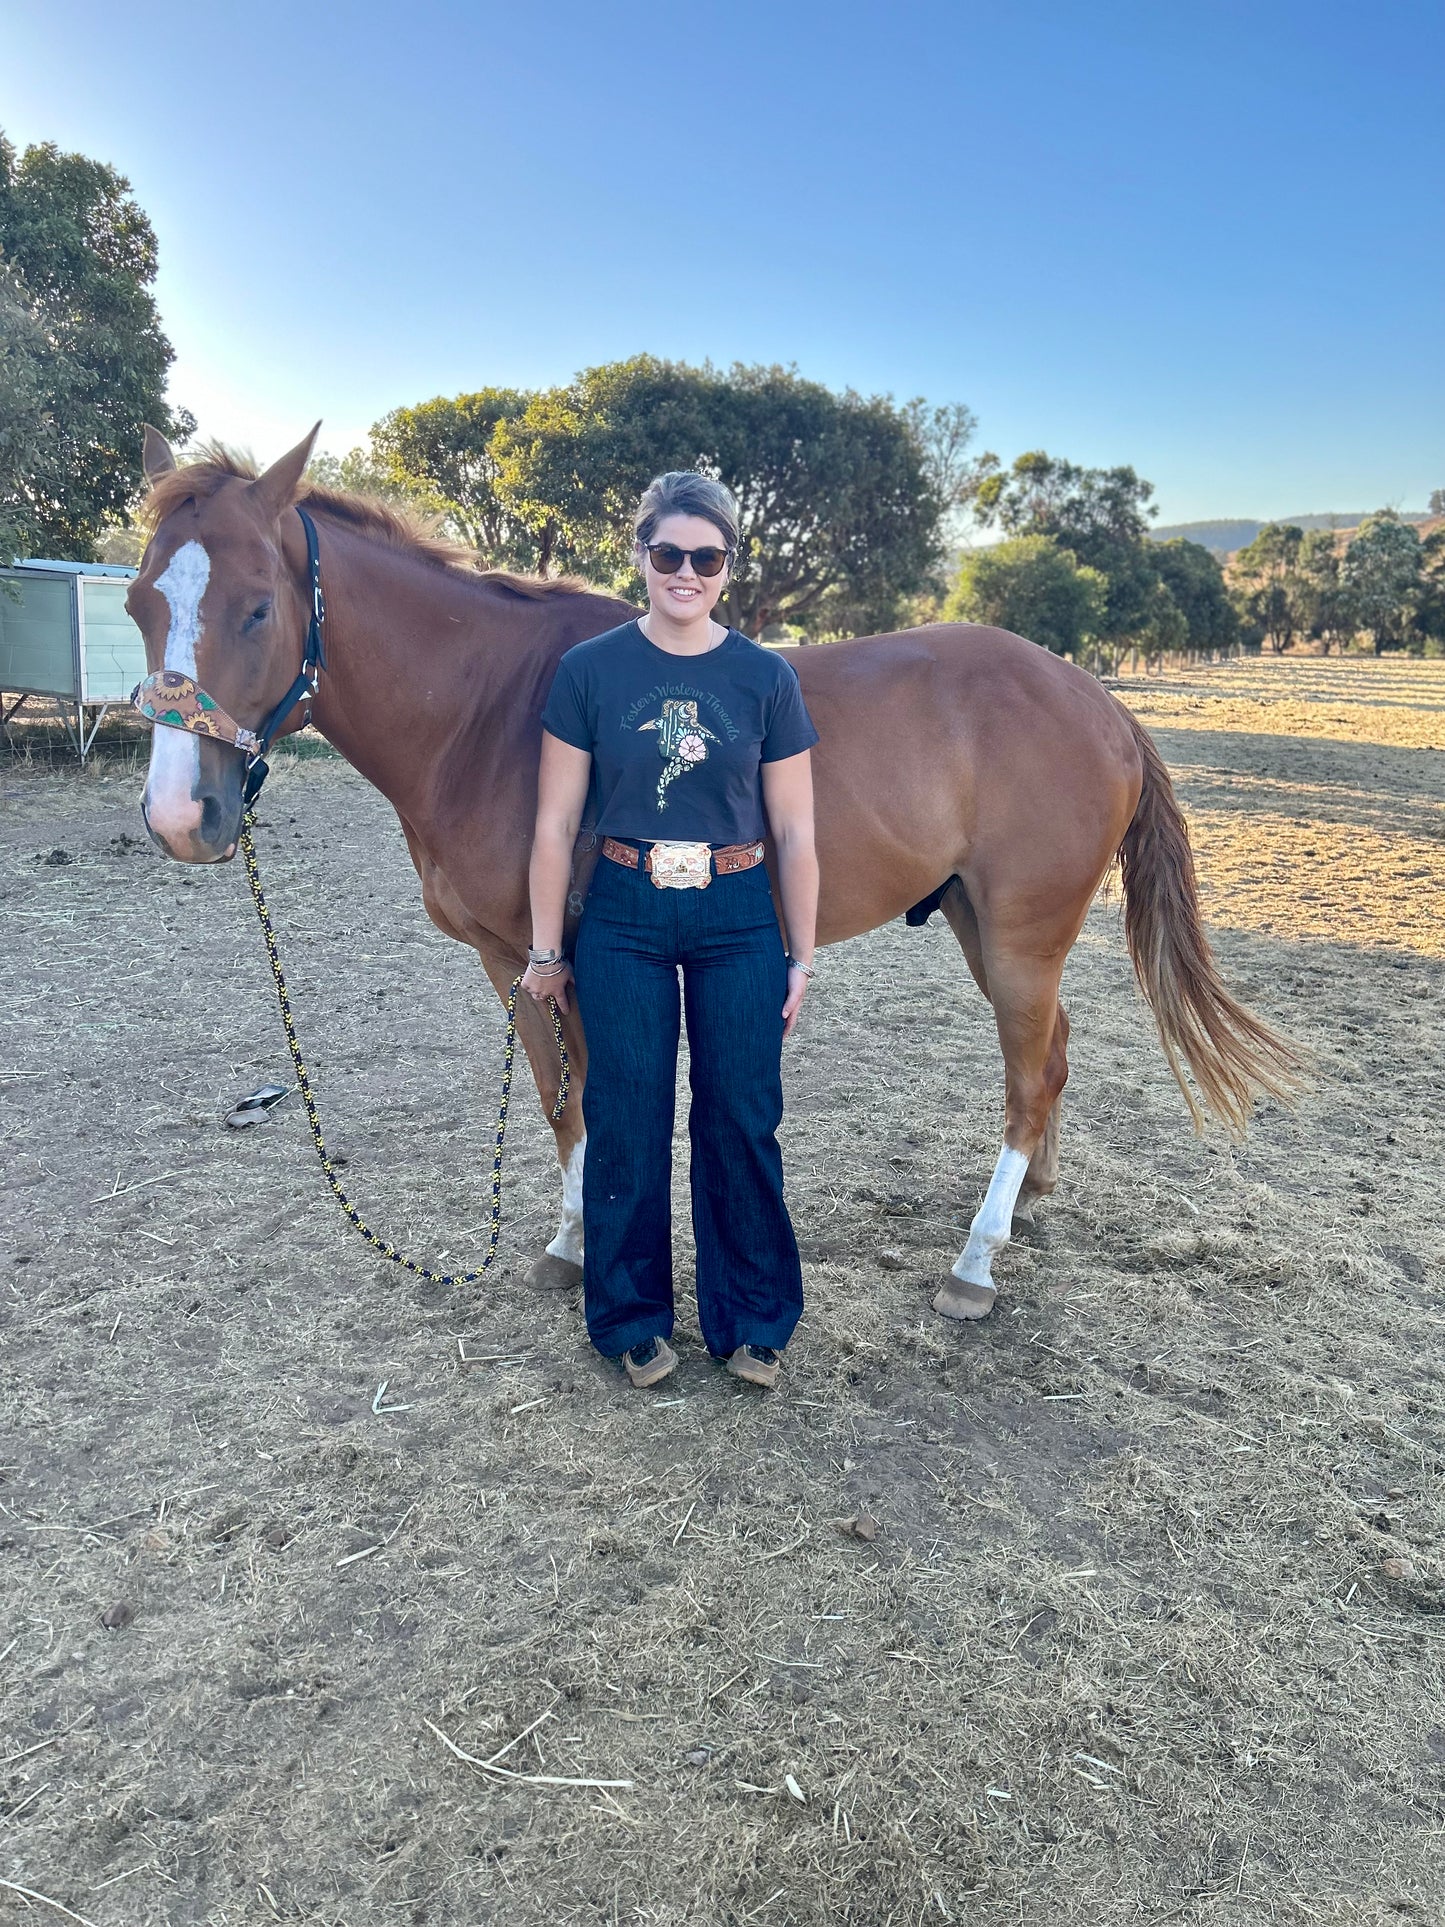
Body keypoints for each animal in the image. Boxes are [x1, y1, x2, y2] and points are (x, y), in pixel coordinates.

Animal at [127, 427, 1302, 1318]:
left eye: (257, 607)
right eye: (141, 603)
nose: (182, 817)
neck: (491, 710)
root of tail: (1097, 700)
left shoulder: (565, 959)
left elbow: (594, 1103)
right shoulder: (516, 960)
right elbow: (562, 1103)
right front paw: (570, 1244)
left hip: (1020, 935)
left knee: (1027, 1077)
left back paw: (974, 1259)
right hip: (981, 924)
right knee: (1051, 1054)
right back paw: (1030, 1203)